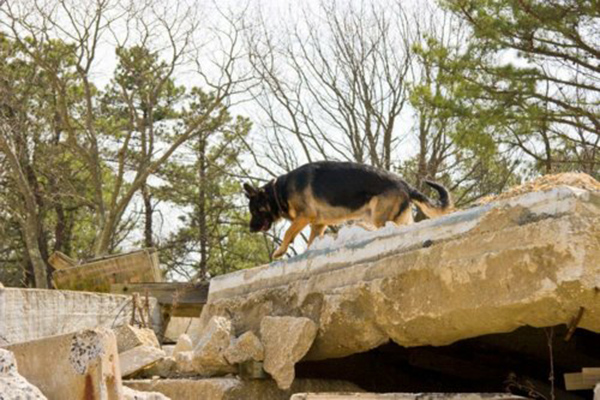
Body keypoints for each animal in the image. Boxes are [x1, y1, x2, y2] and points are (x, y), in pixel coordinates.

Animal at [244, 160, 450, 258]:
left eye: (254, 211)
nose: (250, 229)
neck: (278, 191)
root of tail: (405, 184)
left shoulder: (304, 217)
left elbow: (288, 232)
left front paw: (279, 251)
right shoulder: (318, 225)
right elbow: (310, 242)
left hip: (378, 216)